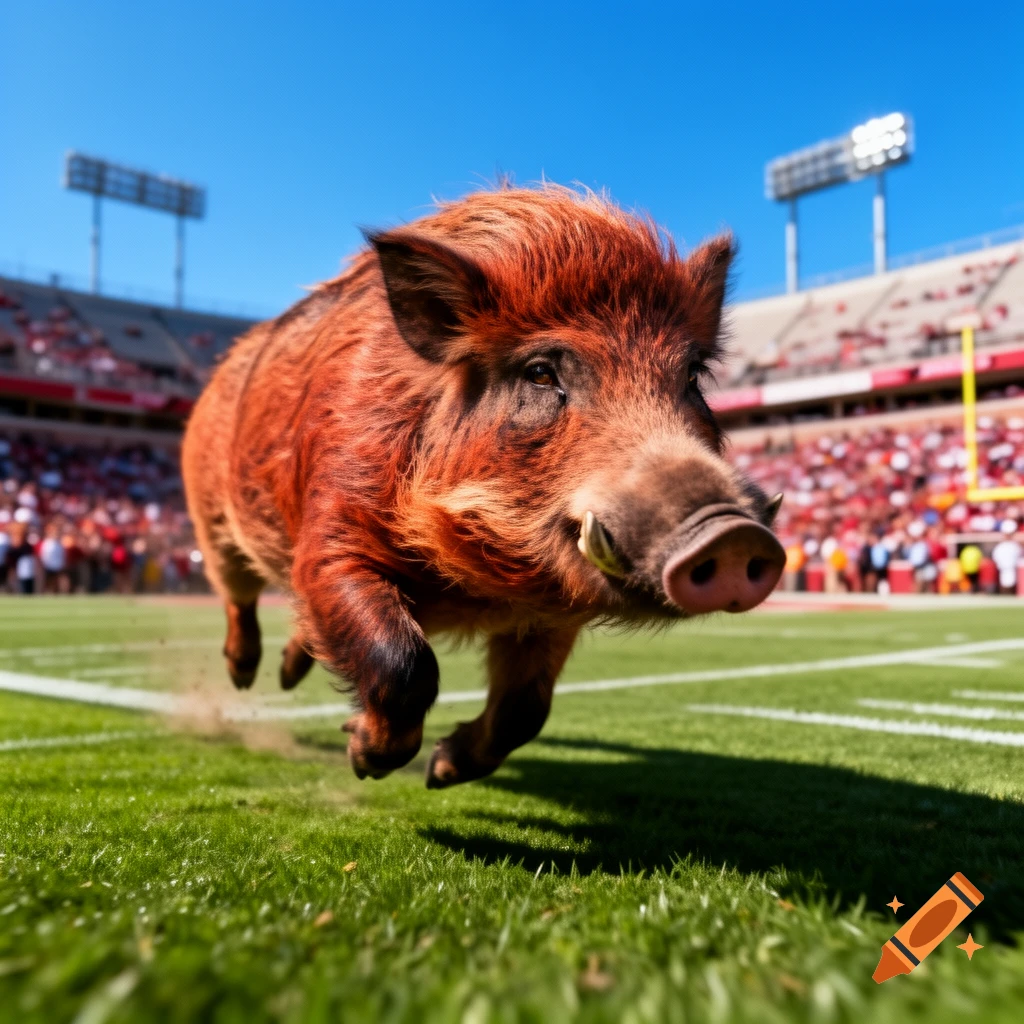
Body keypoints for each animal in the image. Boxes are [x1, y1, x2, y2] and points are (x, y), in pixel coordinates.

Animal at [181, 185, 785, 788]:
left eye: (692, 376)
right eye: (540, 372)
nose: (732, 532)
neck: (477, 587)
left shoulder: (551, 609)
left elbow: (526, 708)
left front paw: (440, 771)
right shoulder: (331, 532)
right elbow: (405, 663)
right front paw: (365, 759)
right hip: (211, 517)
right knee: (237, 595)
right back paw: (244, 677)